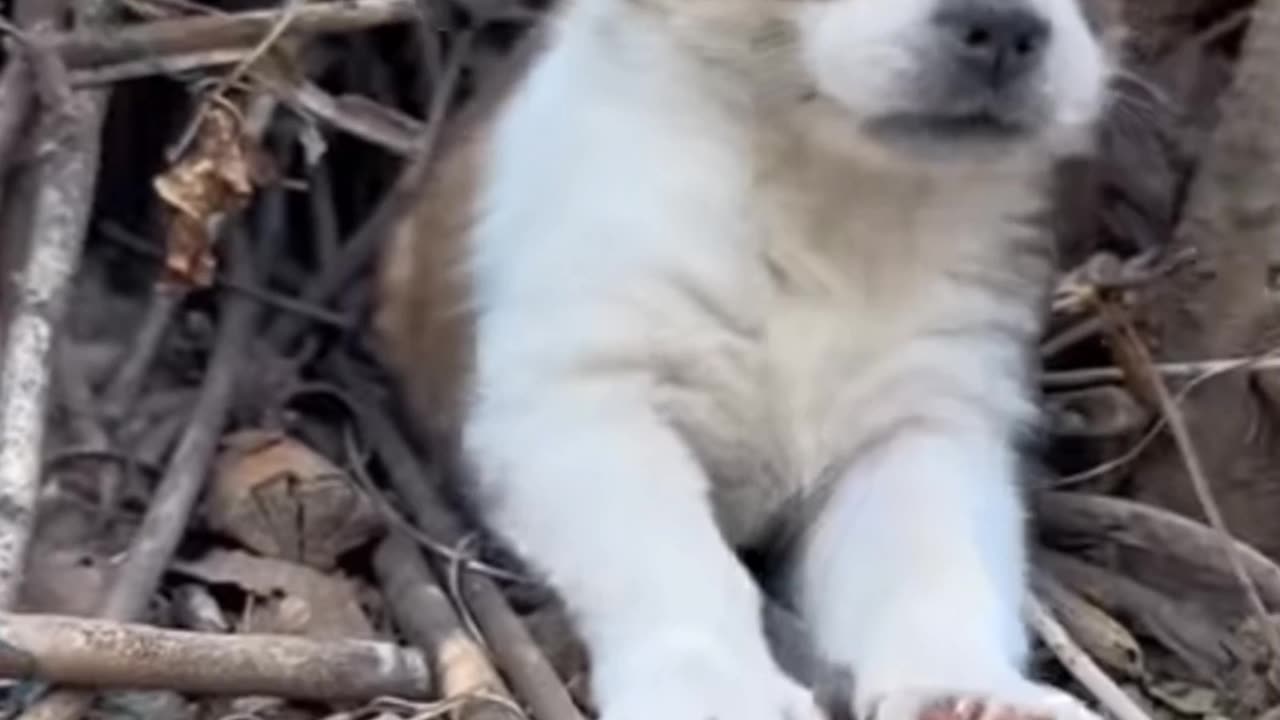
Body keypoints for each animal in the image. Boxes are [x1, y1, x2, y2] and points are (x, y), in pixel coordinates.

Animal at [376, 1, 1111, 717]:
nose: (1006, 26)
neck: (823, 196)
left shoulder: (924, 426)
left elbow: (936, 567)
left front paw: (964, 687)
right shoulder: (582, 404)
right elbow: (678, 559)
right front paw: (720, 689)